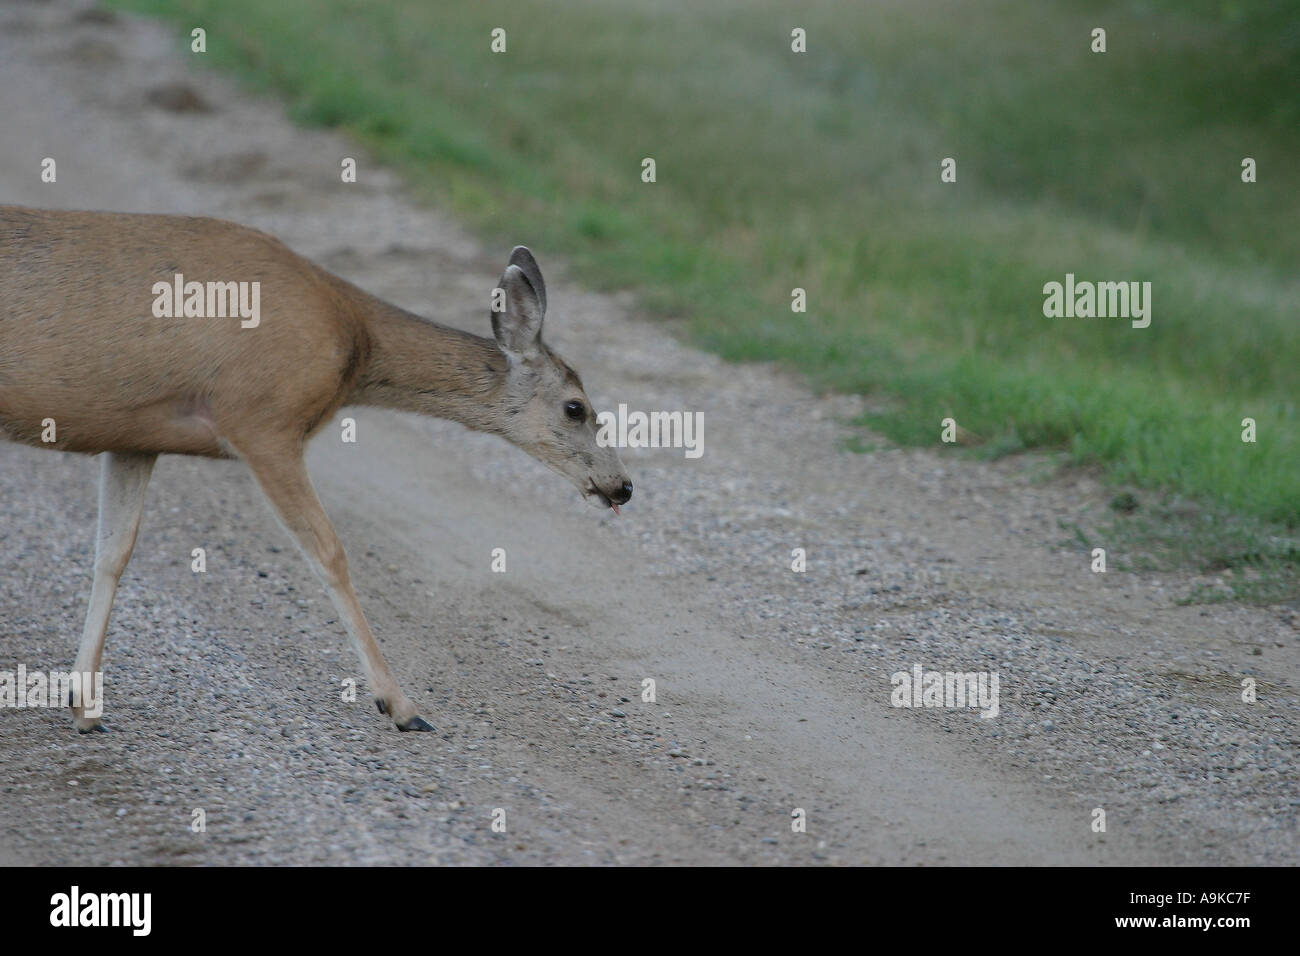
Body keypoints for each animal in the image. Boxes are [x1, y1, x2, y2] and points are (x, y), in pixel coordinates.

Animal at [0, 205, 629, 738]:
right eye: (576, 407)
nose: (622, 485)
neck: (356, 345)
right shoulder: (262, 421)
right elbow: (330, 555)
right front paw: (401, 706)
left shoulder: (136, 435)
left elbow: (113, 551)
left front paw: (83, 705)